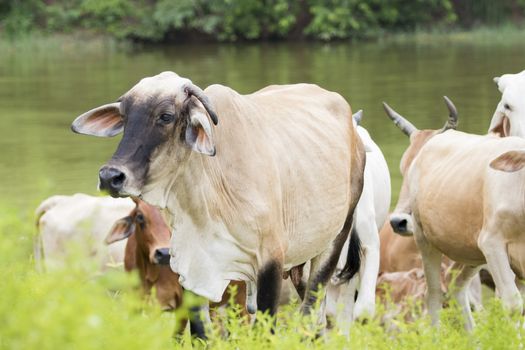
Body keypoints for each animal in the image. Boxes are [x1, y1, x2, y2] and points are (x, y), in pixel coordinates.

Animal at [70, 72, 364, 326]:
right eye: (125, 116)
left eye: (166, 116)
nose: (110, 176)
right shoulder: (191, 268)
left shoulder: (270, 260)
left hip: (334, 241)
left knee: (312, 314)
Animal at [382, 97, 524, 330]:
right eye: (402, 168)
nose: (397, 221)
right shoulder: (492, 244)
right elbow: (513, 305)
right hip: (427, 241)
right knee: (434, 295)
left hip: (469, 251)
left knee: (456, 289)